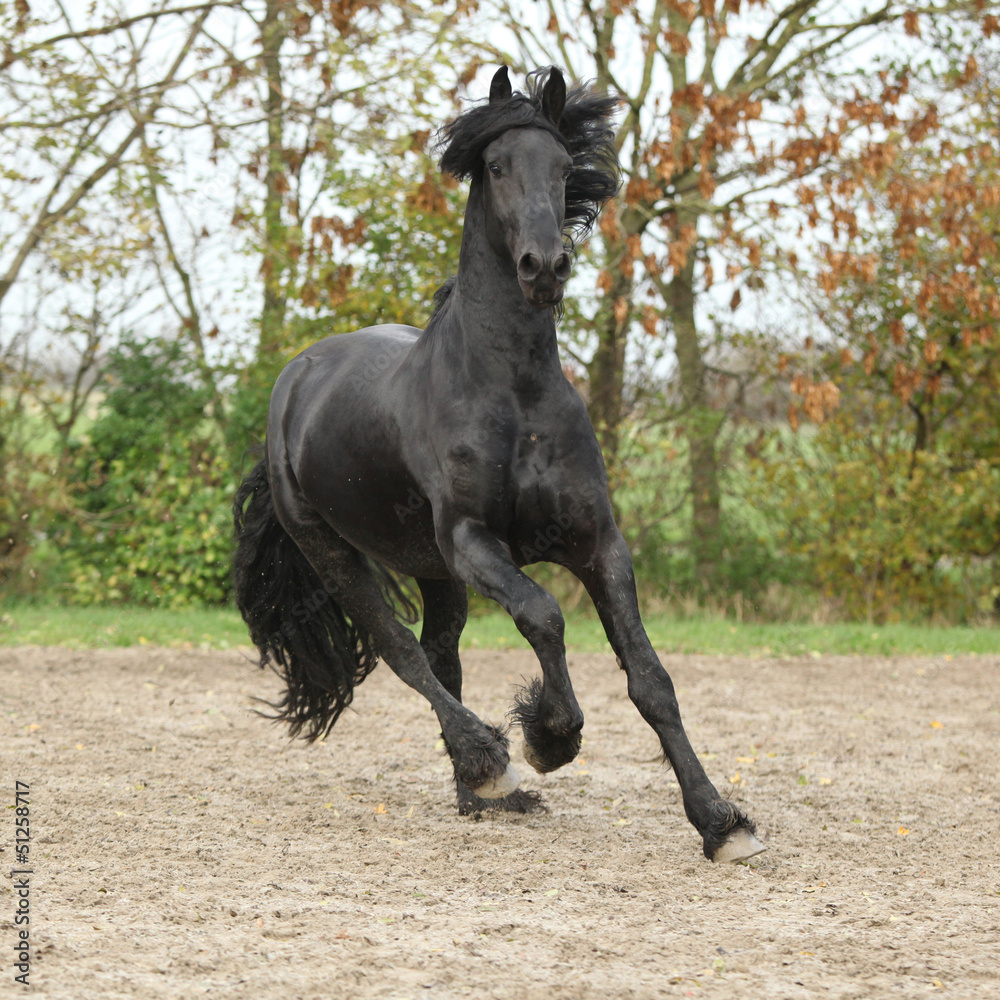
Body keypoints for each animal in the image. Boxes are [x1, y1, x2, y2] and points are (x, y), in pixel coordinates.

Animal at [234, 66, 764, 860]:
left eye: (563, 167)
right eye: (495, 165)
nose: (545, 265)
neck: (514, 394)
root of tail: (297, 378)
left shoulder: (596, 542)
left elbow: (650, 679)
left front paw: (720, 822)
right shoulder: (474, 542)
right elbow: (543, 615)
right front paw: (550, 737)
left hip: (429, 566)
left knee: (440, 654)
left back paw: (477, 792)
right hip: (335, 552)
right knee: (402, 651)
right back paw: (489, 764)